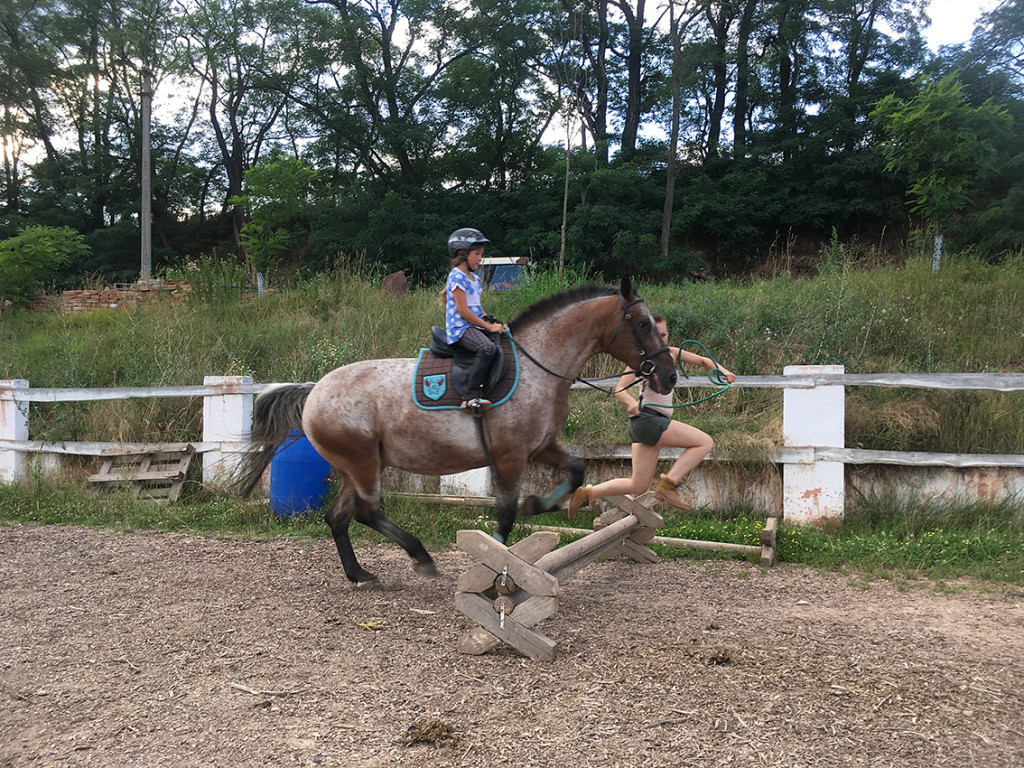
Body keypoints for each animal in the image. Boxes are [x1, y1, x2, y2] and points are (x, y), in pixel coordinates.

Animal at [234, 280, 675, 585]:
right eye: (642, 324)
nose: (669, 376)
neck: (537, 368)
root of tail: (315, 391)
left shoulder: (541, 447)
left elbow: (577, 471)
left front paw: (539, 504)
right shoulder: (510, 457)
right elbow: (505, 516)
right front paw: (497, 568)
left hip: (354, 467)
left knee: (339, 517)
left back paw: (360, 574)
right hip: (362, 464)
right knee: (366, 512)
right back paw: (420, 557)